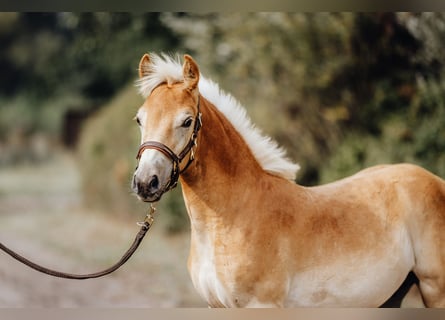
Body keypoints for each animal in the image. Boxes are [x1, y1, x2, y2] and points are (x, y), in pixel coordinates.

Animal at [130, 53, 444, 308]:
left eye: (186, 121)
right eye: (139, 119)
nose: (146, 182)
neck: (233, 217)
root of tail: (434, 181)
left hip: (435, 290)